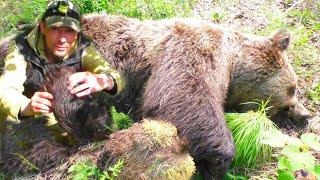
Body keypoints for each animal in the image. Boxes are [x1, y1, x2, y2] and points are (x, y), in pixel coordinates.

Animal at [81, 13, 312, 179]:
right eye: (293, 88)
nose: (305, 114)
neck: (233, 63)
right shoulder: (192, 46)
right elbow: (182, 97)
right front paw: (218, 161)